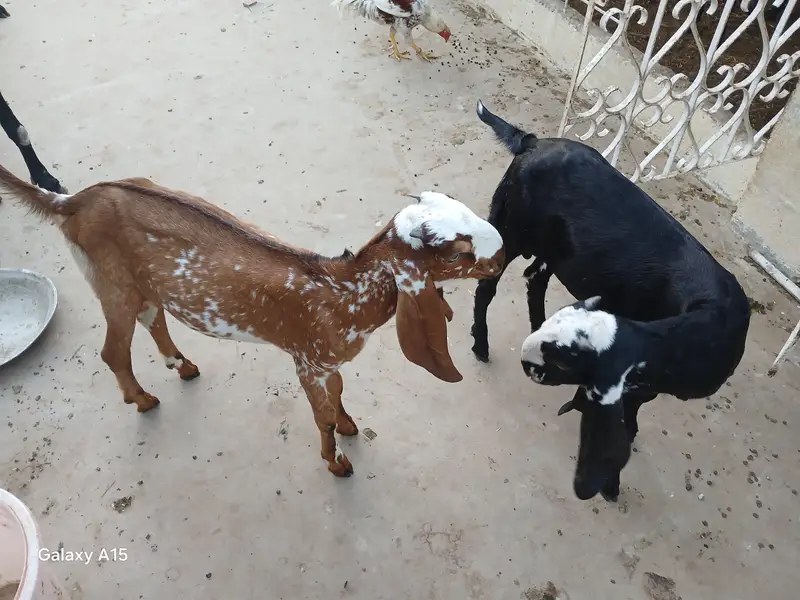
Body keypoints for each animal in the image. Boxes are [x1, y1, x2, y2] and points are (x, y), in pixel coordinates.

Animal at [0, 164, 504, 477]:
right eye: (457, 252)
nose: (501, 255)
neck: (344, 294)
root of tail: (72, 201)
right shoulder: (308, 361)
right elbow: (321, 416)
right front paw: (337, 462)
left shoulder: (329, 363)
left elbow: (340, 395)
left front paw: (349, 426)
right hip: (112, 283)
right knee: (112, 350)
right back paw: (143, 400)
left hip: (142, 285)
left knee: (153, 320)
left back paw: (183, 366)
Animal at [472, 100, 751, 502]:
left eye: (568, 358)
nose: (531, 365)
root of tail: (532, 142)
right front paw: (612, 485)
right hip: (510, 227)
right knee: (487, 288)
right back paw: (480, 346)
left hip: (553, 250)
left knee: (534, 279)